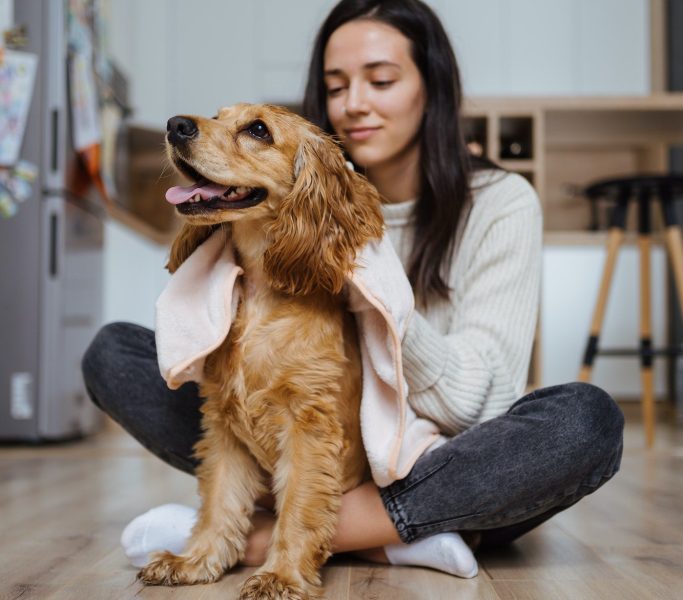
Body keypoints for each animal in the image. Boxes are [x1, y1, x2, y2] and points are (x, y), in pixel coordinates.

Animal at [139, 105, 384, 596]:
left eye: (258, 130)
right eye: (216, 115)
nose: (176, 125)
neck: (260, 296)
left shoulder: (308, 423)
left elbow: (300, 506)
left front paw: (281, 575)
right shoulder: (223, 423)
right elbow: (220, 499)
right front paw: (196, 560)